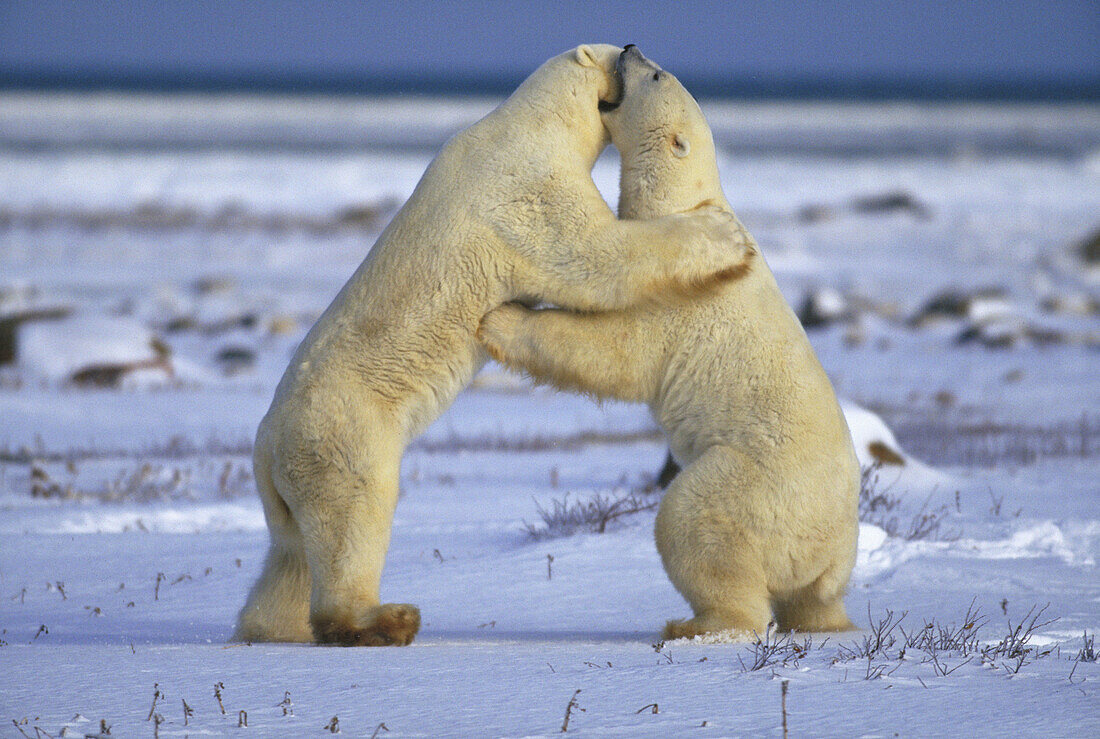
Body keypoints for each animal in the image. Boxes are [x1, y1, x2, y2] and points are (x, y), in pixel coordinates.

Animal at [234, 44, 756, 646]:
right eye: (625, 61)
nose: (630, 45)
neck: (526, 123)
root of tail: (265, 449)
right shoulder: (526, 194)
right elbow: (596, 255)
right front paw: (725, 233)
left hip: (291, 480)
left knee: (290, 555)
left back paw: (269, 627)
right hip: (342, 436)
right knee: (353, 520)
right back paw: (385, 620)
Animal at [479, 47, 858, 642]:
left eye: (656, 75)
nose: (631, 47)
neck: (684, 206)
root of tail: (823, 549)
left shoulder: (679, 297)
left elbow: (616, 351)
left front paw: (502, 320)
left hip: (756, 486)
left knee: (692, 519)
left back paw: (696, 623)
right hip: (830, 556)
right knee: (816, 600)